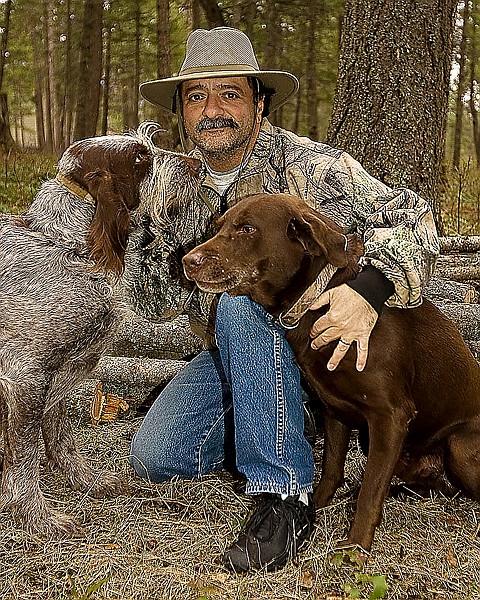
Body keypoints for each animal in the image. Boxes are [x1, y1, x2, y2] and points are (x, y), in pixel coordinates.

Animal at [0, 124, 200, 536]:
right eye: (140, 156)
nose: (197, 164)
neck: (69, 246)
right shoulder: (24, 376)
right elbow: (25, 458)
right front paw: (37, 517)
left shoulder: (62, 374)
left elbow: (59, 435)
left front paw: (86, 480)